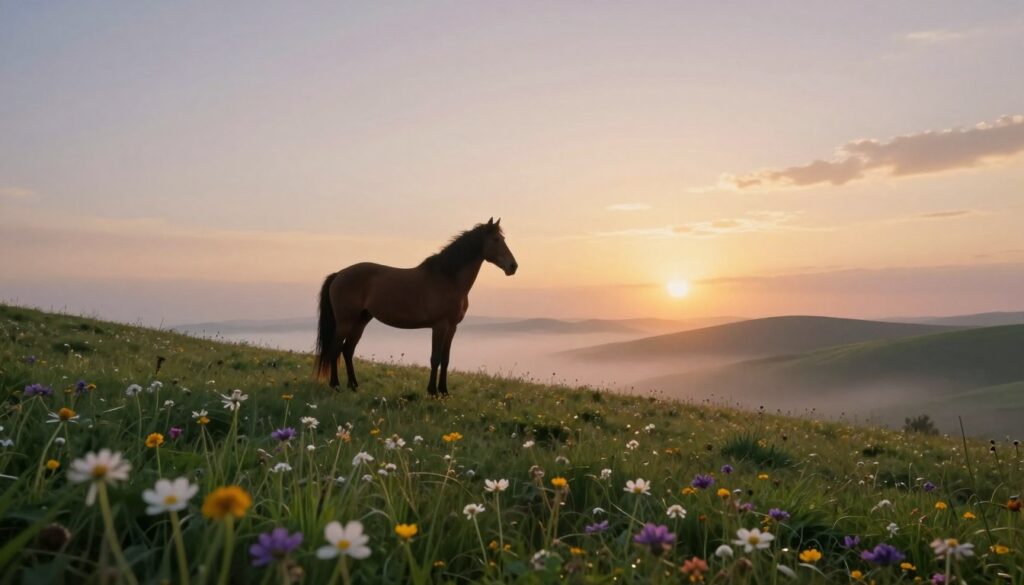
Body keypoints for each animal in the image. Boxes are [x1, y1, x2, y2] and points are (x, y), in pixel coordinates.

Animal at [314, 218, 518, 396]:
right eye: (496, 239)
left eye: (503, 239)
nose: (513, 266)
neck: (447, 279)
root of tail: (339, 274)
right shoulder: (439, 326)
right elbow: (435, 358)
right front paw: (432, 391)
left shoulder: (452, 327)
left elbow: (445, 359)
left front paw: (444, 391)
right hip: (345, 322)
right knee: (335, 349)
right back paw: (336, 385)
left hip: (361, 320)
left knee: (347, 350)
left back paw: (354, 385)